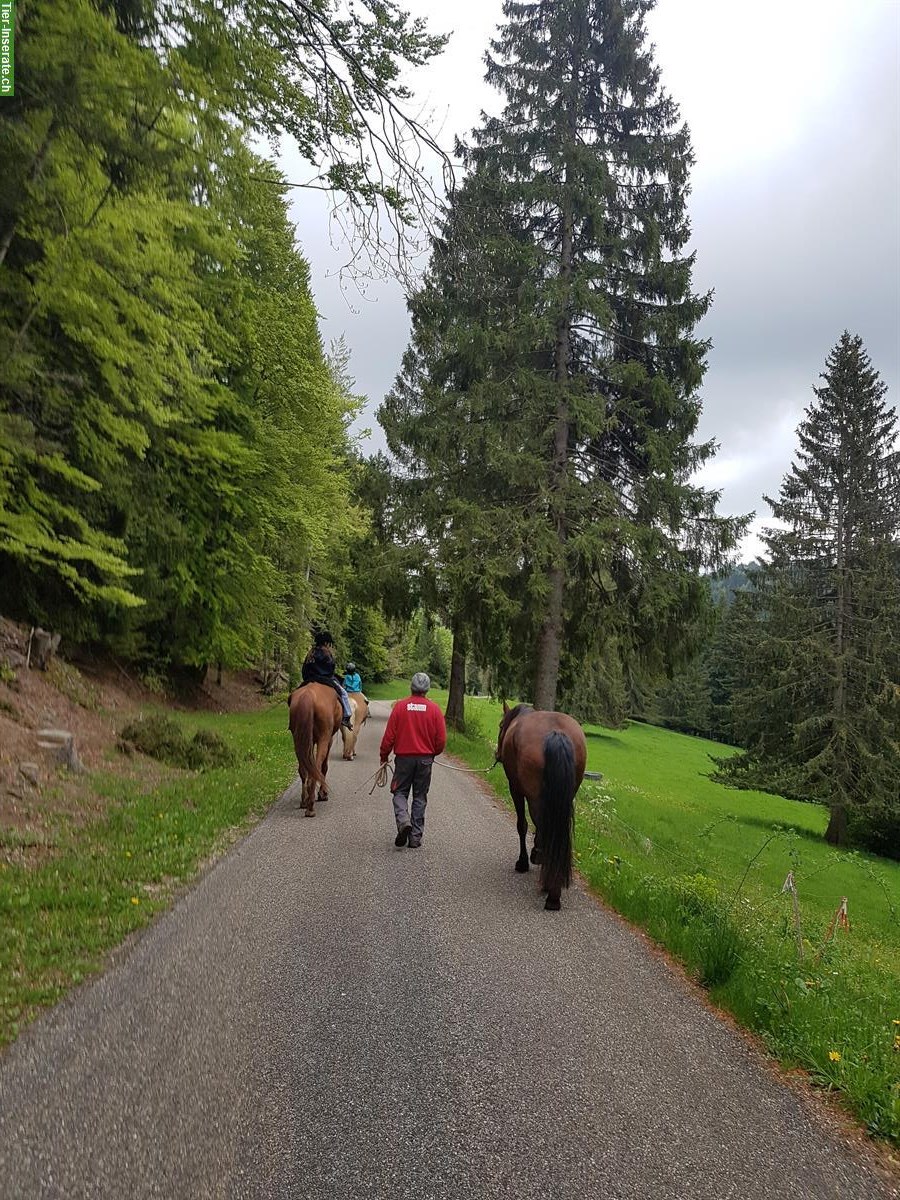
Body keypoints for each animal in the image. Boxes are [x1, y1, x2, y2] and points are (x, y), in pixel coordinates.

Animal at [290, 686, 343, 816]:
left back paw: (304, 801)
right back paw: (311, 806)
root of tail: (308, 695)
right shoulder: (329, 739)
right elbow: (324, 766)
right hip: (323, 738)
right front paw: (323, 793)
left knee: (303, 770)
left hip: (297, 739)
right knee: (318, 766)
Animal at [496, 700, 588, 907]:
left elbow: (522, 826)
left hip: (534, 797)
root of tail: (557, 733)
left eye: (500, 725)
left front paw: (524, 862)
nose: (496, 754)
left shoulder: (516, 789)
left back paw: (551, 892)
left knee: (543, 825)